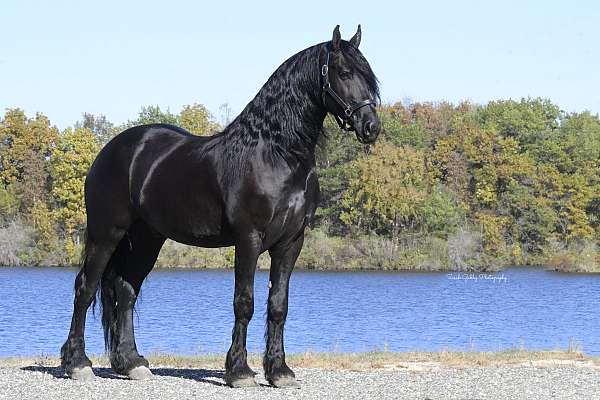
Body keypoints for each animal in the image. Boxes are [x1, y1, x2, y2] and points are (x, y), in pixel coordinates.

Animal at [61, 25, 380, 388]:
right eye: (344, 72)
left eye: (369, 76)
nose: (371, 127)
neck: (276, 154)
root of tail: (112, 149)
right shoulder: (249, 239)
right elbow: (245, 303)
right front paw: (239, 371)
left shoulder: (291, 242)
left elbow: (278, 306)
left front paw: (279, 371)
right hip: (107, 234)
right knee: (85, 288)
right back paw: (77, 364)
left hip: (146, 239)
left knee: (125, 291)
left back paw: (131, 363)